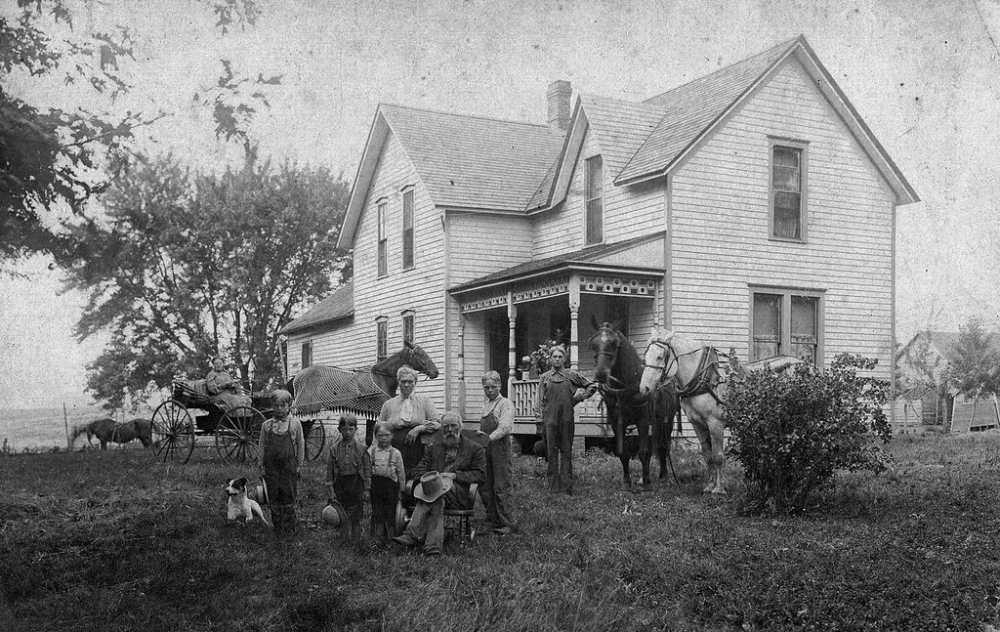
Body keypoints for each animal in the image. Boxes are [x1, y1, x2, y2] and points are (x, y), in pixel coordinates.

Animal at [588, 318, 684, 492]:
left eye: (613, 343)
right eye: (593, 343)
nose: (601, 374)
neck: (627, 387)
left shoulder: (643, 421)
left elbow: (644, 452)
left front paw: (647, 483)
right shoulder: (617, 422)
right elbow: (623, 454)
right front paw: (627, 482)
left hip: (667, 420)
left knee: (663, 446)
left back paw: (664, 476)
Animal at [640, 328, 804, 496]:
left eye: (660, 356)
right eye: (646, 355)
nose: (644, 388)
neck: (703, 377)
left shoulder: (715, 424)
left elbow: (718, 456)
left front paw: (719, 488)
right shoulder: (698, 424)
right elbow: (708, 456)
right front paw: (710, 485)